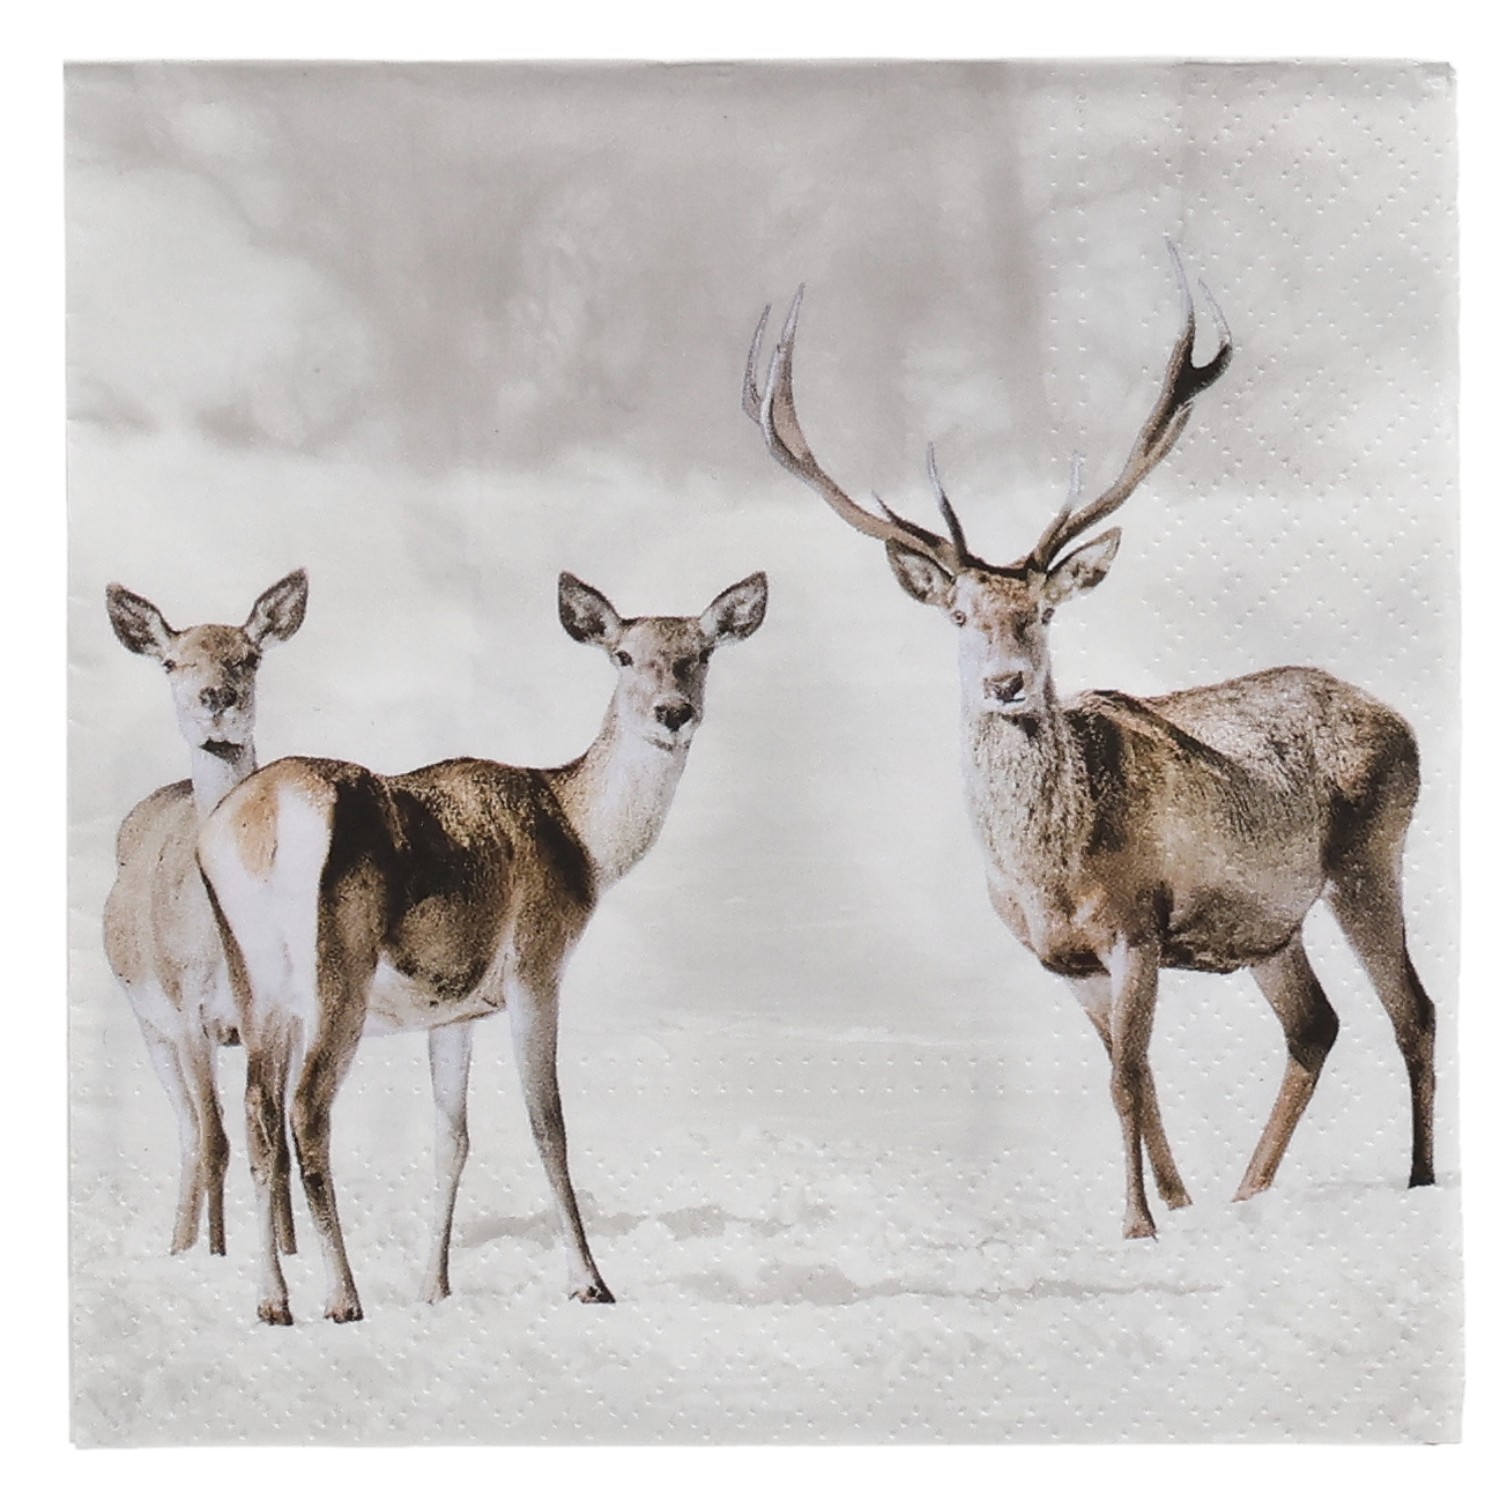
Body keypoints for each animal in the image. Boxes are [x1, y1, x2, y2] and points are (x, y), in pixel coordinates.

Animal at [102, 569, 309, 1258]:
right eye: (171, 661)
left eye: (250, 657)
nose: (216, 697)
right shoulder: (187, 1010)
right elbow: (218, 1140)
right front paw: (215, 1256)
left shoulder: (280, 1018)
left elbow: (274, 1141)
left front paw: (290, 1254)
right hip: (149, 1024)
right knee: (192, 1133)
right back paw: (181, 1245)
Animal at [197, 569, 768, 1324]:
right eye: (622, 655)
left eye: (700, 653)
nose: (672, 713)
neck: (582, 841)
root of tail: (257, 822)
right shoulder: (536, 966)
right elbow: (548, 1123)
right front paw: (590, 1282)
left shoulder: (452, 1010)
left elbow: (452, 1139)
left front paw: (433, 1286)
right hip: (336, 974)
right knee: (307, 1109)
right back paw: (343, 1298)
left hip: (256, 983)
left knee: (259, 1114)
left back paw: (272, 1301)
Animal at [745, 245, 1435, 1241]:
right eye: (960, 615)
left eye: (1039, 613)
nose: (1005, 683)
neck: (1051, 870)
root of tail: (1404, 720)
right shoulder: (1060, 958)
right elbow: (1135, 1080)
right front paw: (1176, 1206)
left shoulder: (1138, 925)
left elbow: (1124, 1079)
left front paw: (1138, 1224)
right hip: (1270, 924)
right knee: (1317, 1025)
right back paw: (1247, 1193)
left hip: (1370, 854)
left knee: (1412, 1008)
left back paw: (1420, 1180)